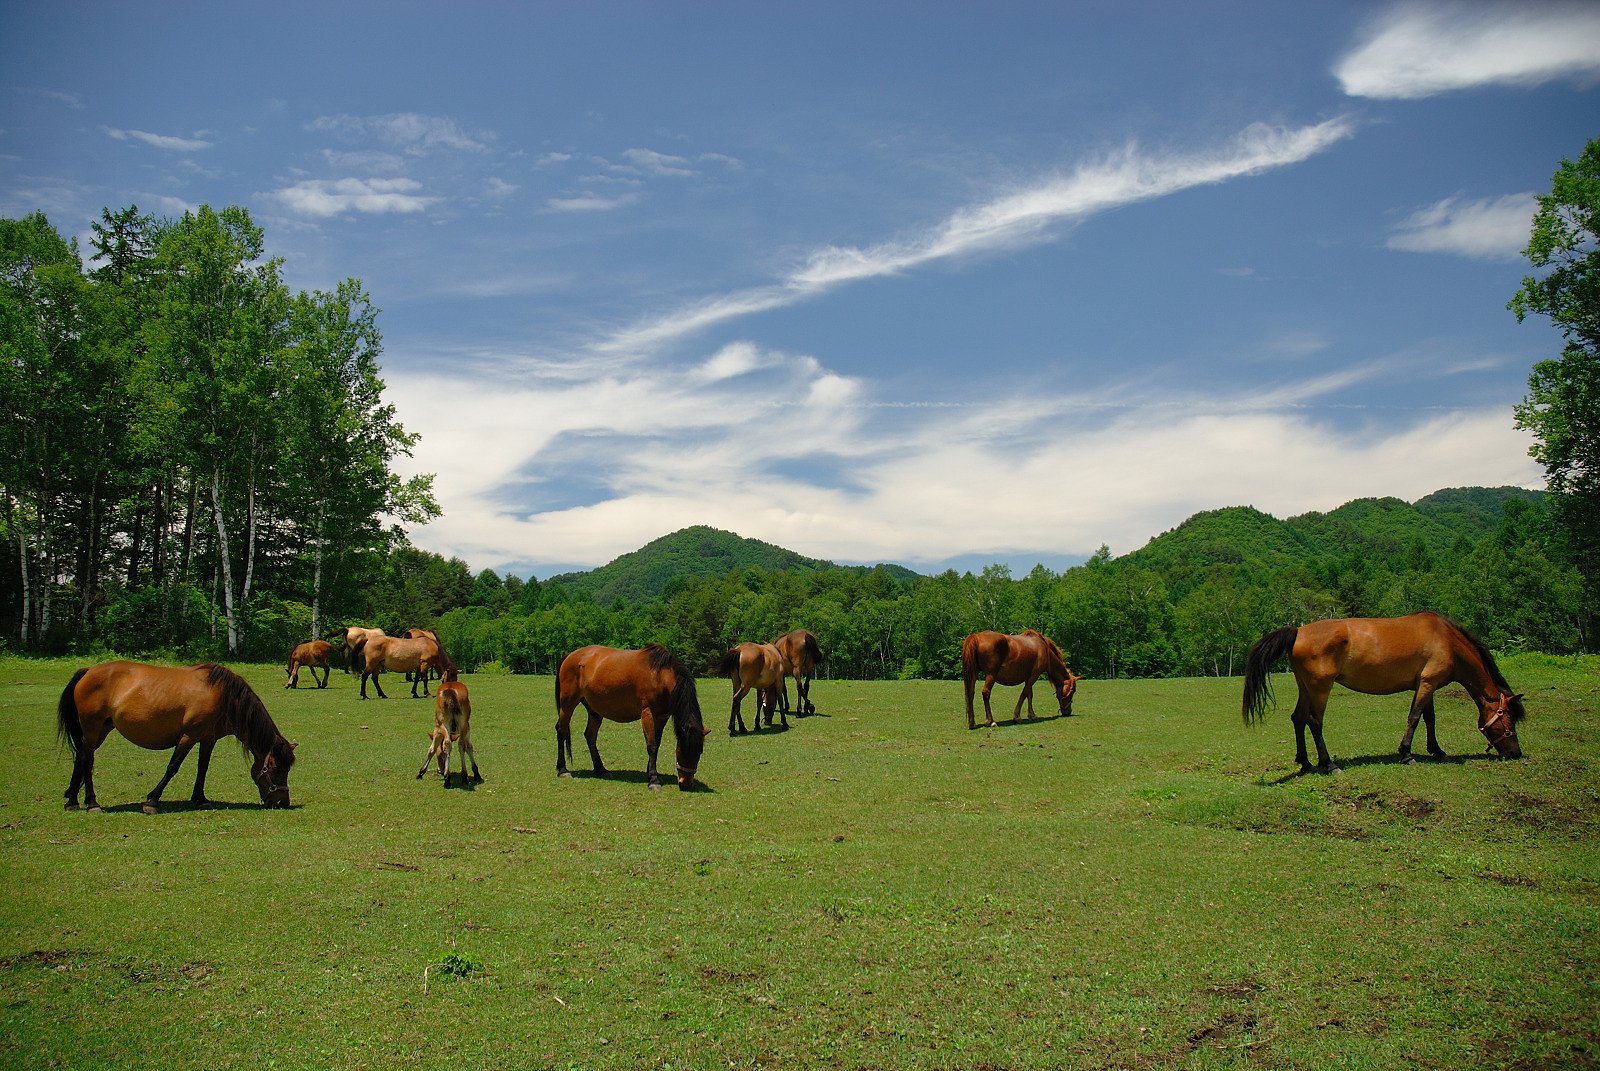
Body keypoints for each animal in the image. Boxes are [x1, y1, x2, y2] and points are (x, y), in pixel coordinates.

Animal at [57, 661, 296, 814]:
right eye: (276, 769)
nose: (282, 802)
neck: (222, 695)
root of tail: (88, 670)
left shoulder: (208, 738)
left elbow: (203, 768)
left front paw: (200, 799)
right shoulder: (188, 736)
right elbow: (173, 766)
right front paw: (152, 800)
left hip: (100, 730)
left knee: (81, 757)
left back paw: (72, 800)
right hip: (92, 729)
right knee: (88, 761)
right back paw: (92, 802)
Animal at [556, 643, 709, 791]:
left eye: (699, 752)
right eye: (680, 751)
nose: (686, 784)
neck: (660, 676)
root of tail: (570, 655)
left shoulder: (662, 717)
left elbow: (657, 743)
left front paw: (652, 773)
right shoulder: (648, 714)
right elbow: (652, 746)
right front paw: (653, 780)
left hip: (594, 711)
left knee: (590, 736)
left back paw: (600, 769)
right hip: (568, 703)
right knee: (561, 730)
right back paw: (563, 770)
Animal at [1242, 611, 1526, 774]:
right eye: (1509, 721)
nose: (1516, 753)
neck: (1447, 640)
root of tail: (1298, 630)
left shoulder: (1426, 684)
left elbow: (1429, 718)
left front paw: (1437, 751)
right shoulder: (1427, 683)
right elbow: (1414, 717)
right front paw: (1406, 754)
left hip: (1306, 687)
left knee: (1298, 719)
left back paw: (1305, 762)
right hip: (1320, 688)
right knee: (1314, 722)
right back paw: (1328, 764)